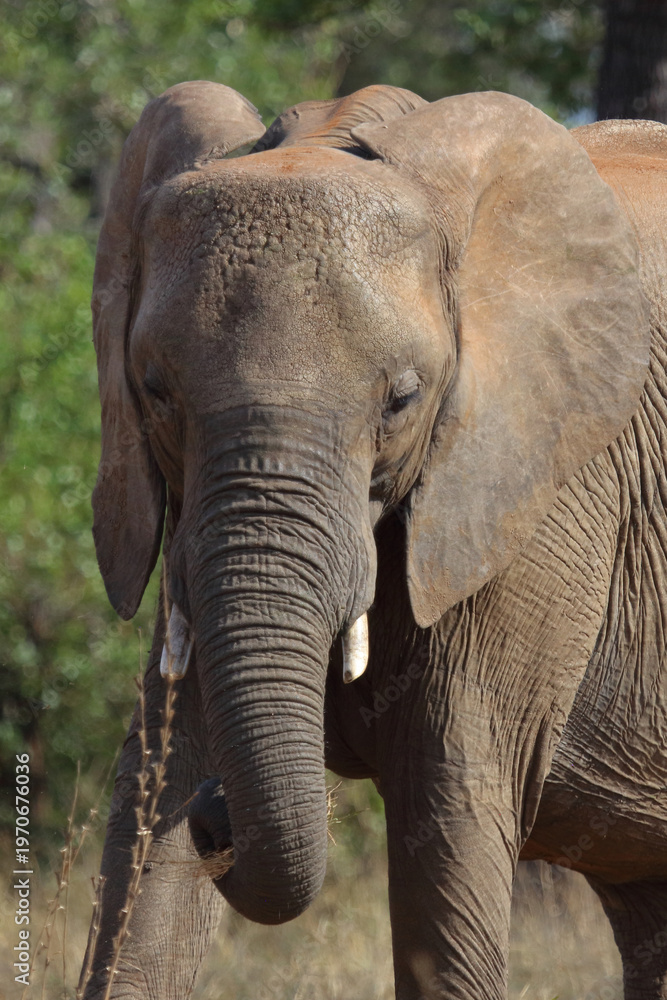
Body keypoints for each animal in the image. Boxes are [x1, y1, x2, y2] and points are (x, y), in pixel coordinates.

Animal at [78, 80, 667, 1000]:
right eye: (154, 390)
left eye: (401, 398)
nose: (217, 813)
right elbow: (150, 815)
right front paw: (176, 795)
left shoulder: (540, 486)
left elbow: (448, 817)